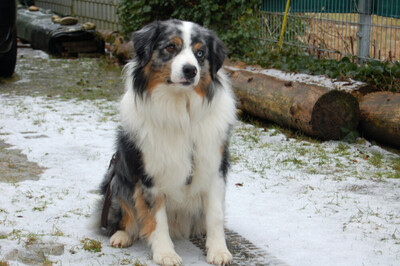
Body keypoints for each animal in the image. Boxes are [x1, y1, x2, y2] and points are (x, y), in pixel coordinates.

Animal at [95, 19, 236, 266]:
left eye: (200, 53)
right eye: (171, 47)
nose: (191, 70)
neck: (181, 111)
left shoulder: (213, 167)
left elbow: (215, 215)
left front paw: (218, 250)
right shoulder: (150, 175)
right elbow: (156, 218)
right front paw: (165, 253)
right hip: (118, 179)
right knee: (124, 214)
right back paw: (122, 235)